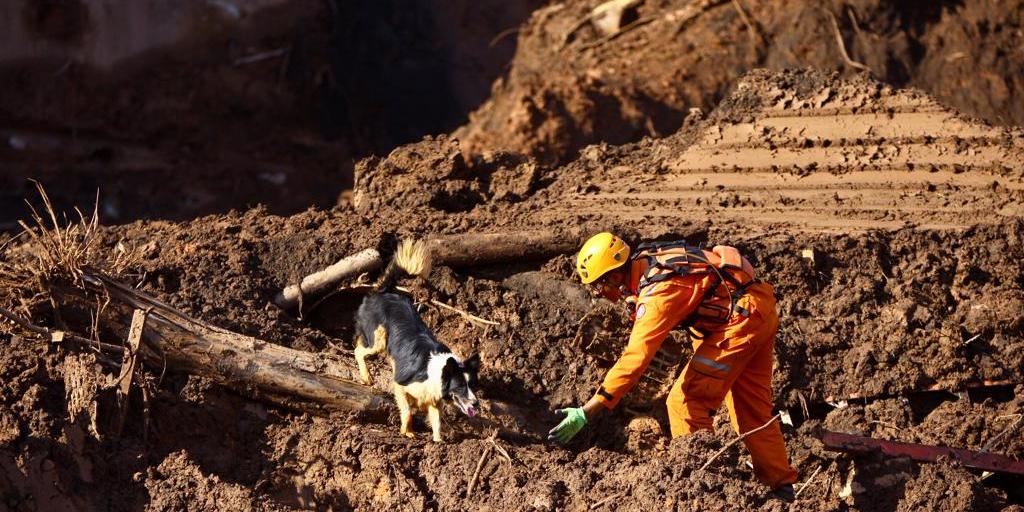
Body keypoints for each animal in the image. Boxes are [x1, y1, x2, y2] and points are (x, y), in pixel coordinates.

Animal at [354, 237, 481, 442]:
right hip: (379, 339)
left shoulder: (433, 401)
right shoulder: (400, 384)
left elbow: (437, 423)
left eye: (473, 385)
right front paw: (407, 432)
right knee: (359, 350)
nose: (476, 404)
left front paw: (438, 443)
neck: (438, 372)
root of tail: (385, 291)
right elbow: (407, 411)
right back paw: (366, 377)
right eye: (461, 386)